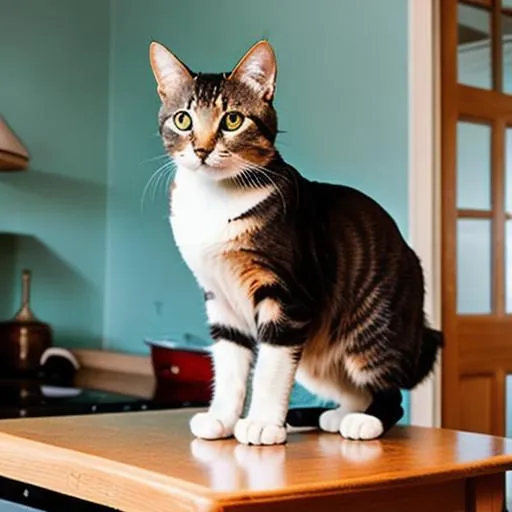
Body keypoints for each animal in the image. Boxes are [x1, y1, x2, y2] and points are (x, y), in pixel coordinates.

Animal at [149, 39, 444, 444]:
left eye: (232, 120)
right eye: (183, 119)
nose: (202, 150)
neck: (215, 199)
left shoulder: (287, 295)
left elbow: (271, 368)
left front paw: (261, 425)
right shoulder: (220, 298)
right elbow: (229, 367)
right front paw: (221, 419)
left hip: (373, 328)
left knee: (387, 390)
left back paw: (365, 422)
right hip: (317, 358)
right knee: (355, 389)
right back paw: (338, 415)